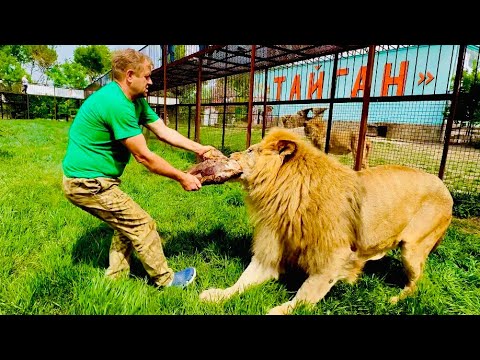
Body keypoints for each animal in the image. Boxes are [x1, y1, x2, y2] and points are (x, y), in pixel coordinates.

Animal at [199, 128, 454, 314]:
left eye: (251, 150)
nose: (229, 156)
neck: (285, 196)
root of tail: (444, 186)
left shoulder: (334, 256)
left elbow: (307, 293)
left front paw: (279, 310)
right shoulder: (271, 251)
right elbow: (242, 281)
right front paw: (217, 294)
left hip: (414, 249)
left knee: (416, 282)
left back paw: (395, 299)